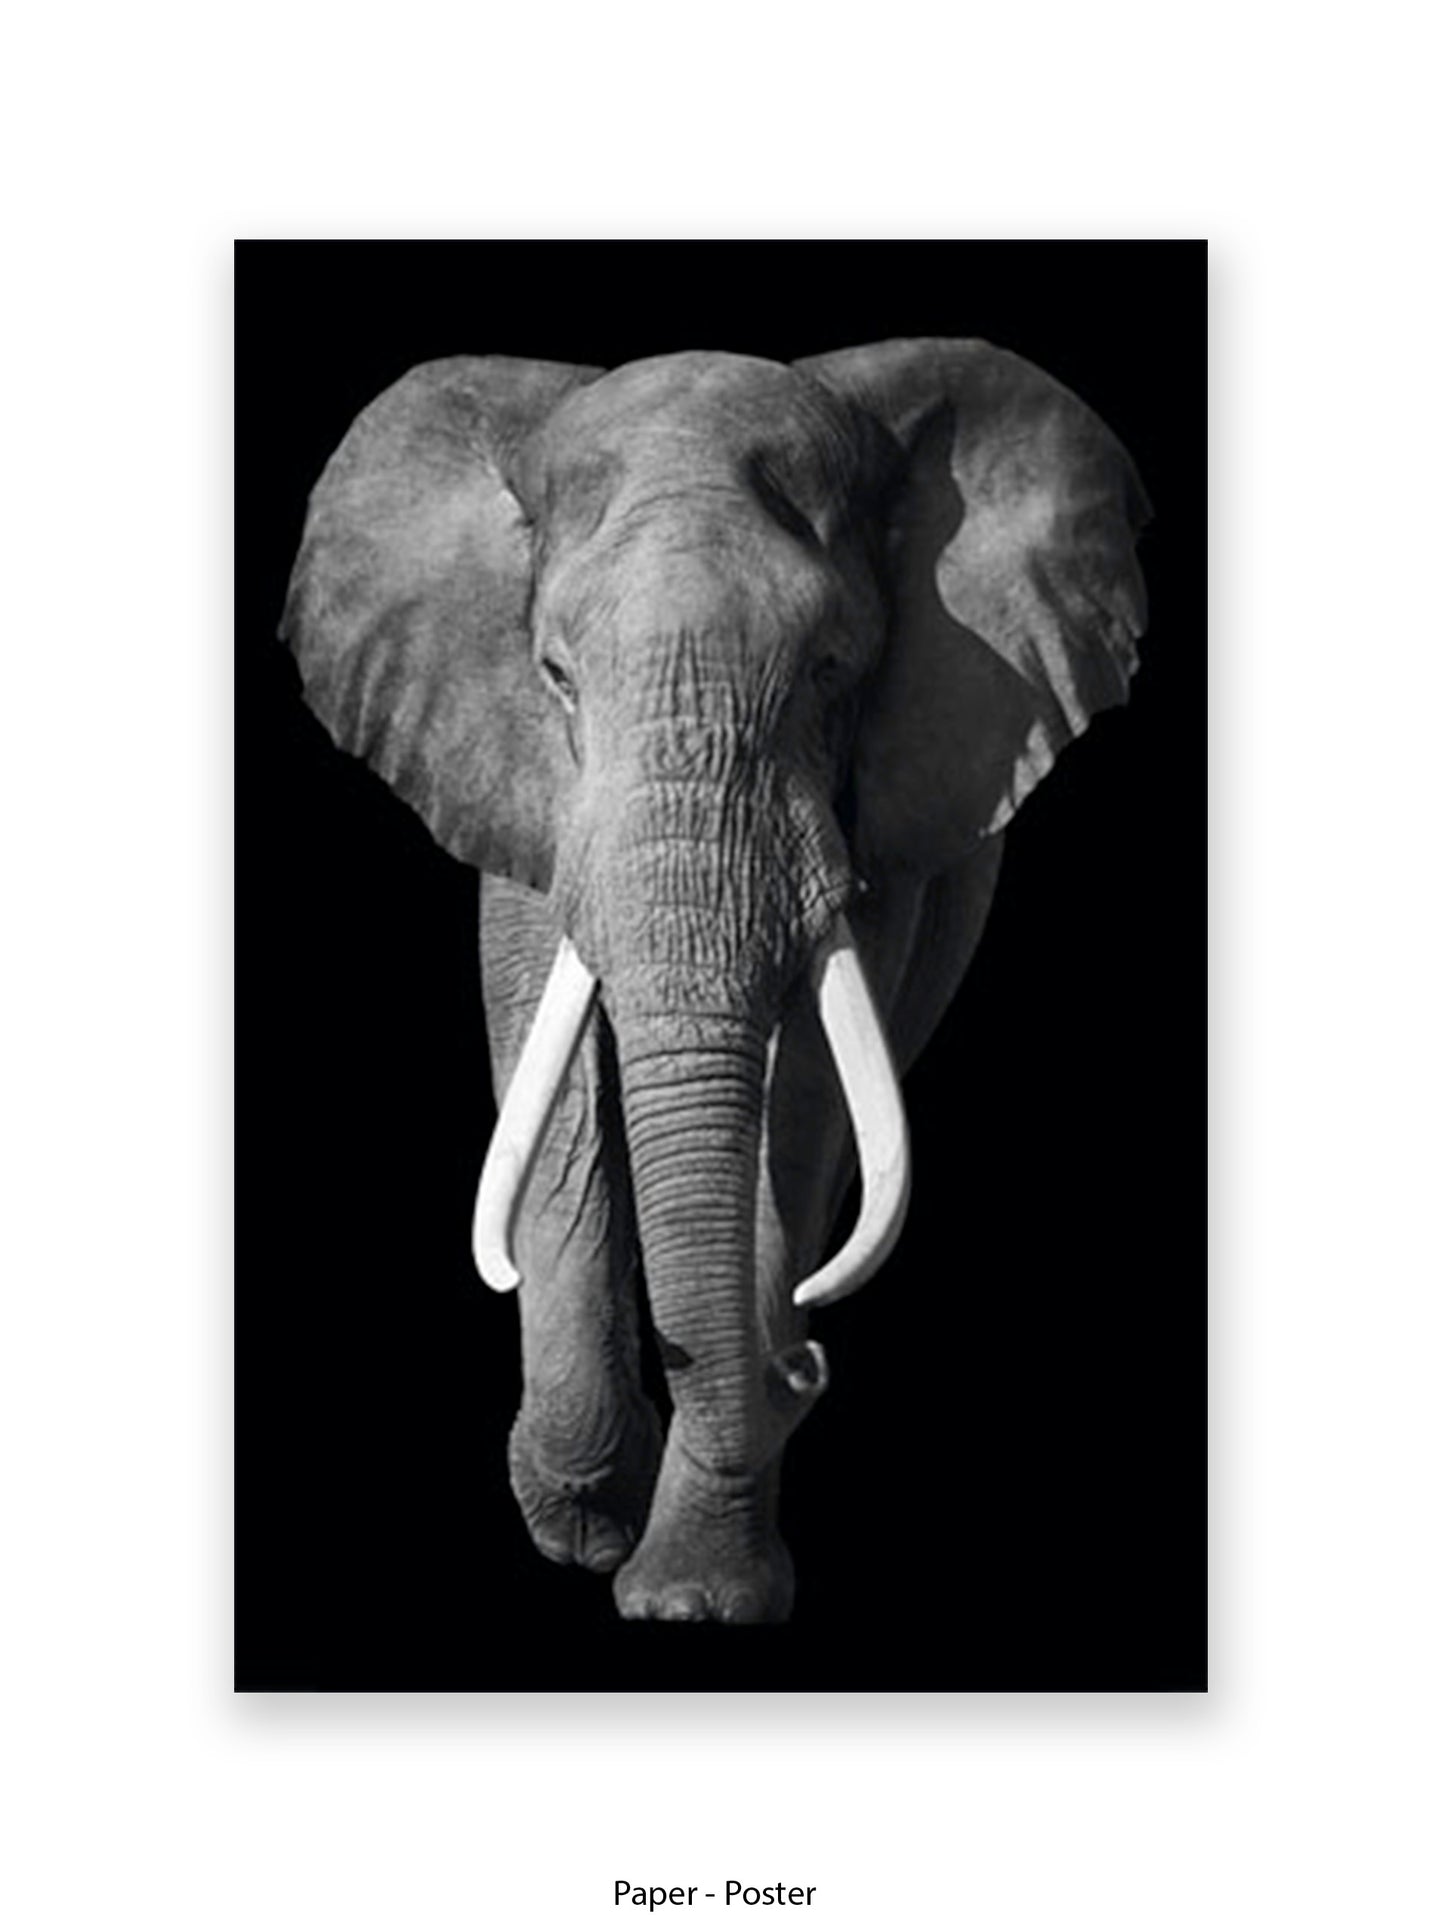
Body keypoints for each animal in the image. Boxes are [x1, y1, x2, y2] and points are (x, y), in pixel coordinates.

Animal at [281, 338, 1149, 1624]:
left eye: (834, 668)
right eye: (554, 674)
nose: (803, 1364)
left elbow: (801, 1099)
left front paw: (692, 1596)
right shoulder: (515, 774)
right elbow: (553, 1067)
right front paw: (587, 1518)